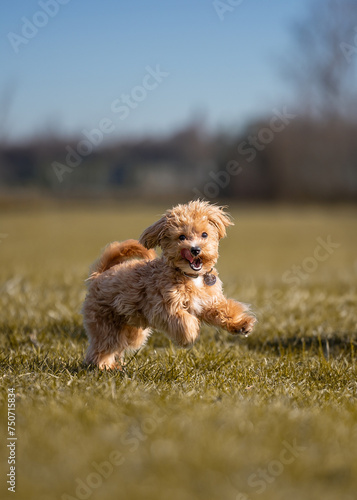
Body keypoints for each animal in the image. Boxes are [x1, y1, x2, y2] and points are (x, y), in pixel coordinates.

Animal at [82, 201, 256, 370]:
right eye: (181, 237)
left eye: (204, 234)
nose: (195, 249)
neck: (190, 277)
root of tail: (99, 275)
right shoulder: (162, 308)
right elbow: (184, 320)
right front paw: (190, 334)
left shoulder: (208, 302)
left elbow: (224, 311)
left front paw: (241, 325)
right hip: (105, 322)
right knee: (102, 346)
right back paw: (104, 366)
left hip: (132, 330)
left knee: (118, 345)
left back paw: (115, 365)